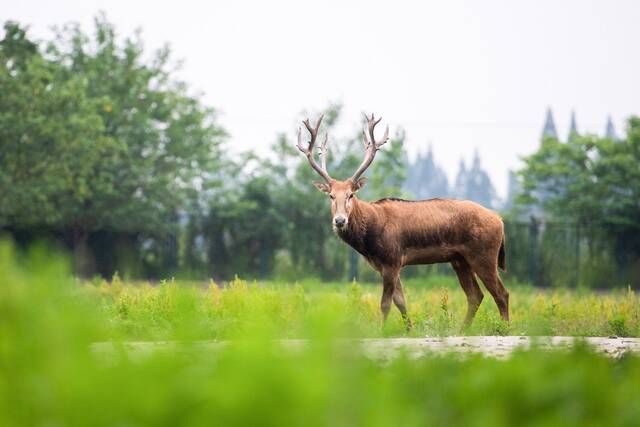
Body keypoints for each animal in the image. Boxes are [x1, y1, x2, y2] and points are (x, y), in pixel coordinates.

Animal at [296, 113, 510, 332]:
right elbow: (401, 301)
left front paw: (382, 331)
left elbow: (385, 303)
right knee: (476, 295)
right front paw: (410, 329)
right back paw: (462, 330)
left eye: (351, 195)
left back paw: (504, 328)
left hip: (484, 254)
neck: (369, 242)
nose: (339, 220)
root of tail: (500, 220)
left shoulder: (392, 259)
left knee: (501, 293)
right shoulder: (386, 264)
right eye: (331, 196)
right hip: (460, 259)